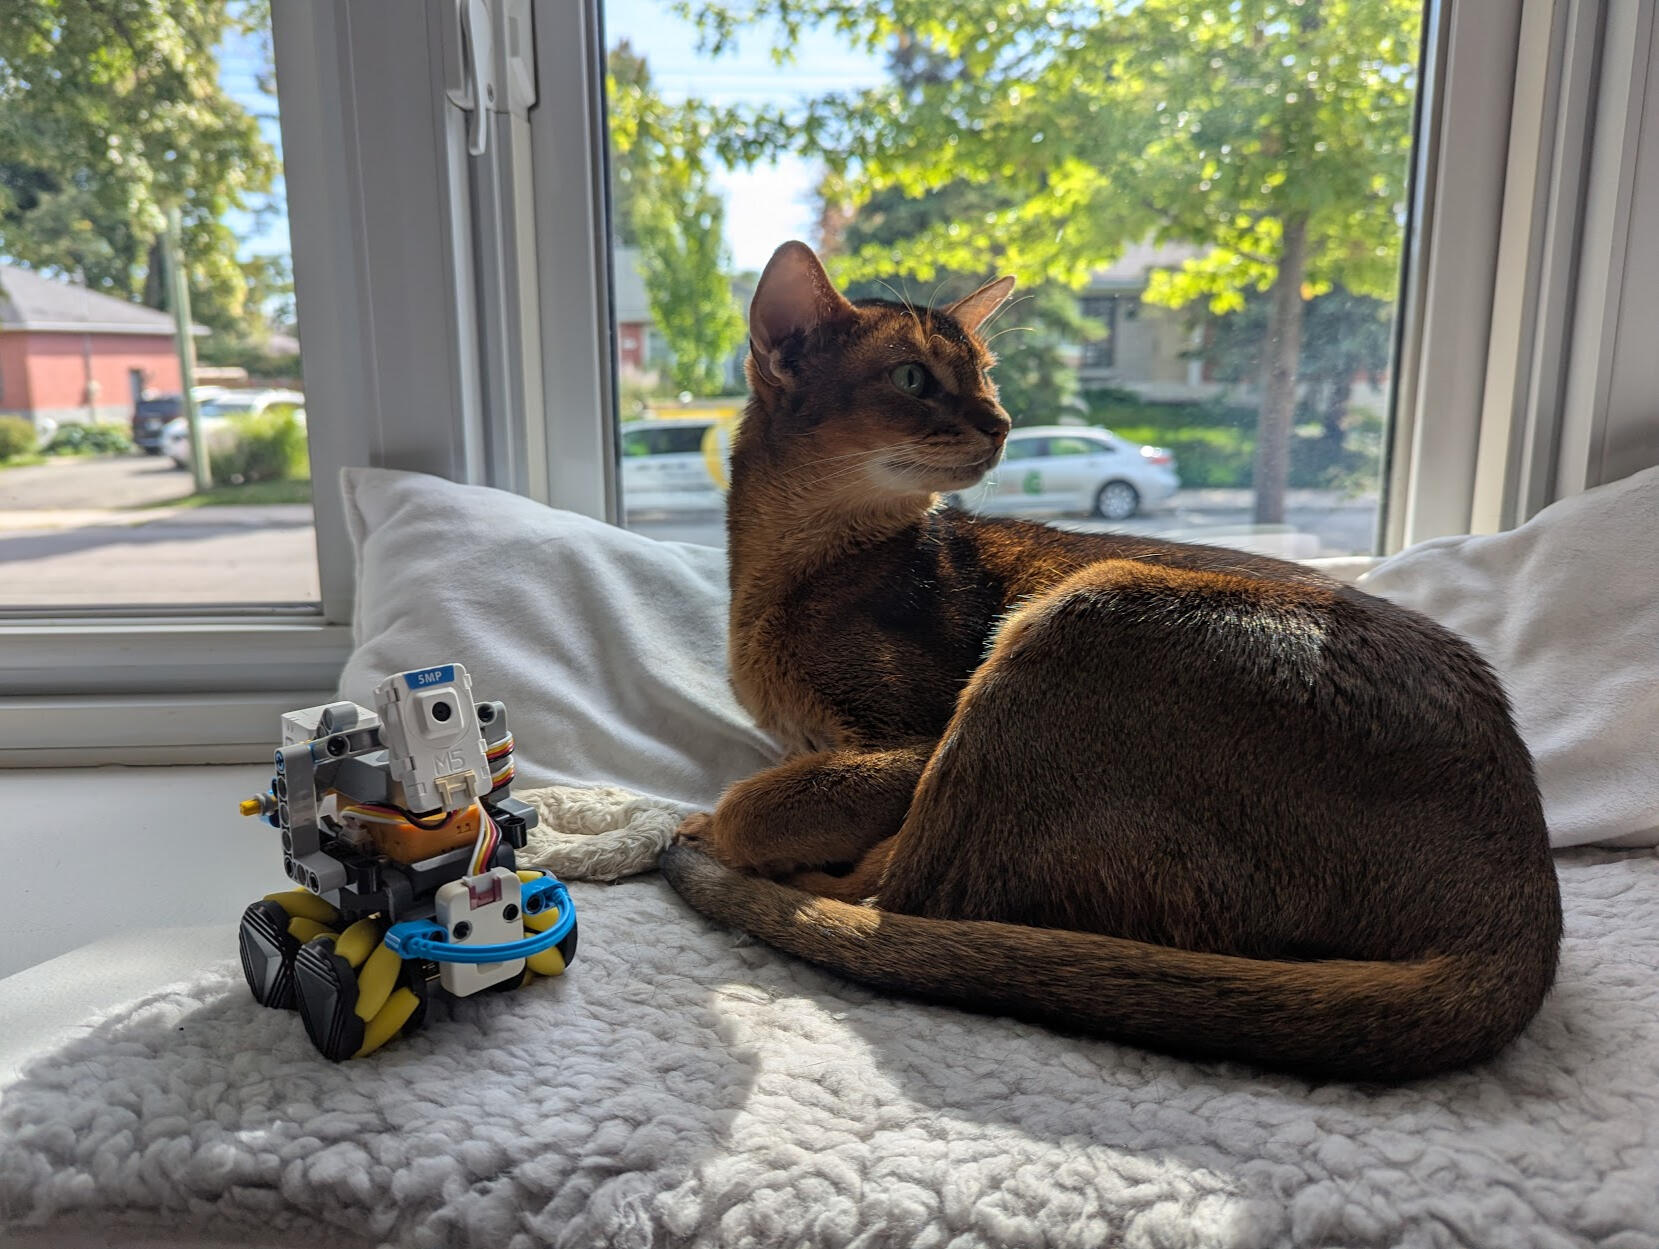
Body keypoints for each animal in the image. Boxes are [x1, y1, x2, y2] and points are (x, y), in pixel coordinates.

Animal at [660, 240, 1561, 1081]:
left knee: (906, 898)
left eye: (983, 375)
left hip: (1074, 618)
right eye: (912, 378)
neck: (791, 567)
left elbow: (751, 804)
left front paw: (711, 825)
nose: (1002, 422)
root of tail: (1523, 892)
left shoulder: (910, 743)